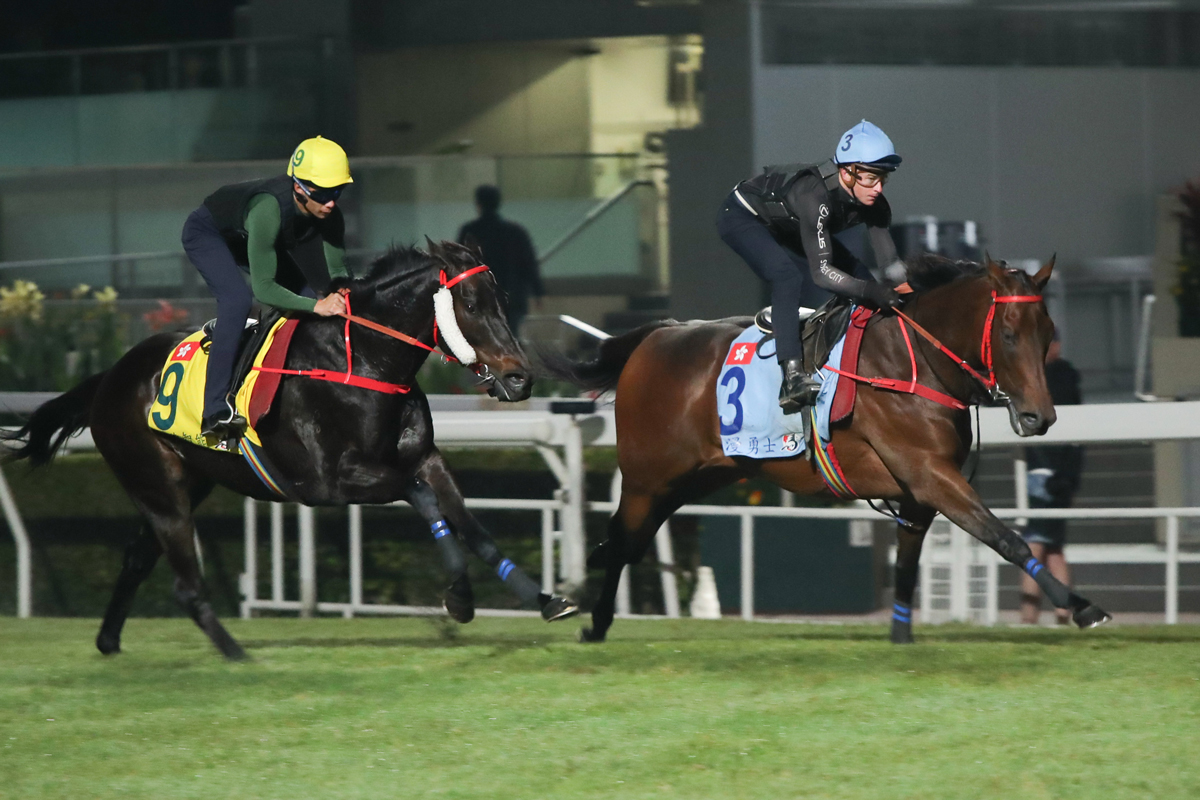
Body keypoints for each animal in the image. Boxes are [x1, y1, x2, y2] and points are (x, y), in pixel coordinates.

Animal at [3, 241, 576, 662]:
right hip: (157, 485)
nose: (520, 379)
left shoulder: (425, 457)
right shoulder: (333, 482)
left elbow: (473, 525)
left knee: (137, 558)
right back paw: (237, 656)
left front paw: (545, 599)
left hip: (186, 482)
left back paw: (109, 643)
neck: (362, 361)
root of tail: (108, 378)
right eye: (471, 305)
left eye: (503, 300)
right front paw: (458, 595)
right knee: (185, 585)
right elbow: (424, 499)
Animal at [549, 256, 1108, 642]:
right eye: (1009, 334)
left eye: (1048, 333)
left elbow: (907, 565)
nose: (1040, 417)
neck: (914, 361)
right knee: (623, 540)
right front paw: (1082, 606)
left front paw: (901, 636)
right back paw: (593, 621)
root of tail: (653, 337)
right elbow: (1007, 538)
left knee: (628, 543)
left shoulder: (918, 493)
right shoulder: (929, 473)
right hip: (647, 478)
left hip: (693, 479)